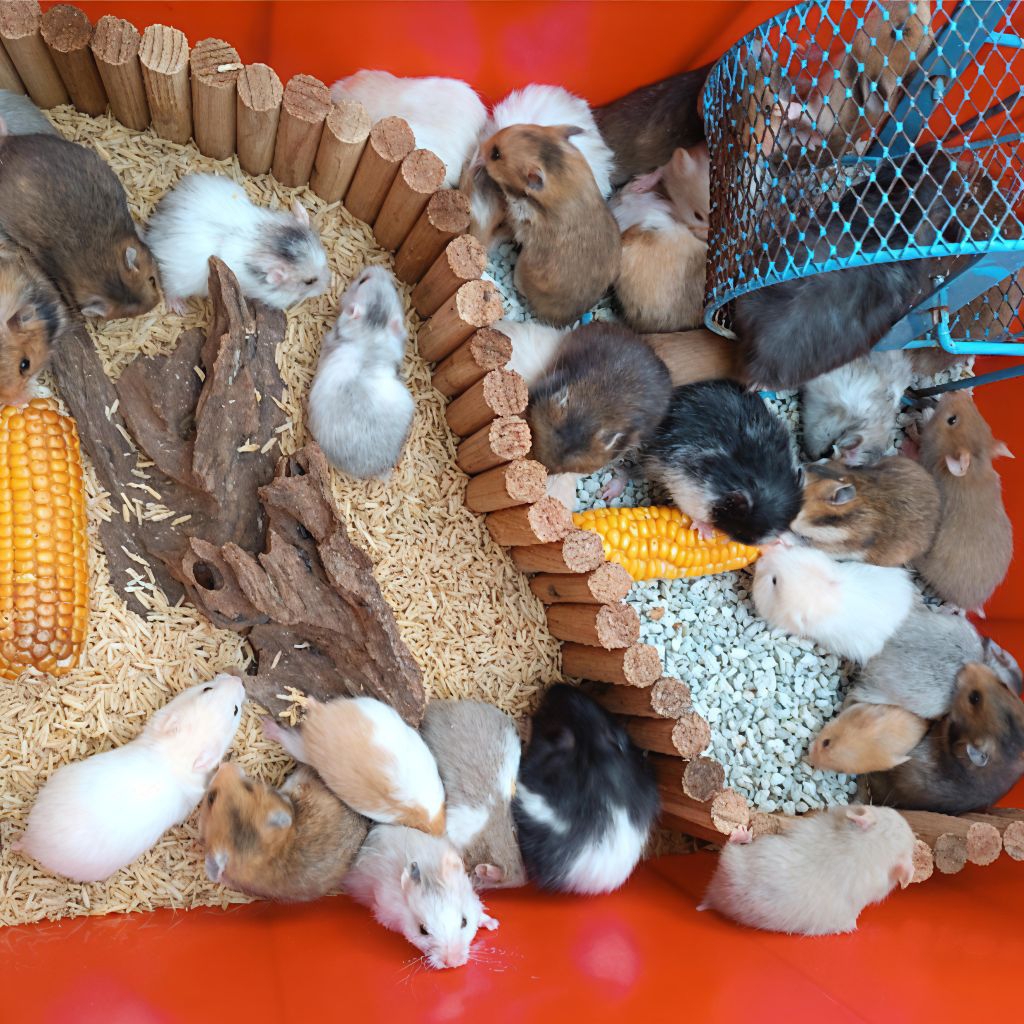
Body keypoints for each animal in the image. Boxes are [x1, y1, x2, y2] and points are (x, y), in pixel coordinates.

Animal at [145, 172, 330, 312]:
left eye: (324, 260)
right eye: (309, 281)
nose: (328, 285)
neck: (264, 240)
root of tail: (155, 227)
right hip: (180, 279)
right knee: (169, 289)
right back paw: (180, 308)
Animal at [482, 124, 621, 327]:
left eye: (496, 154)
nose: (481, 147)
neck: (563, 181)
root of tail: (563, 320)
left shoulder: (521, 213)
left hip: (521, 272)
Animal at [699, 805, 916, 936]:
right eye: (886, 810)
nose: (907, 822)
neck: (868, 849)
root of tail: (713, 897)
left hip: (732, 859)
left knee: (729, 844)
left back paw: (741, 833)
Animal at [914, 392, 1013, 611]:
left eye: (952, 420)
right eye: (986, 424)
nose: (955, 392)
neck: (976, 465)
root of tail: (973, 604)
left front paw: (925, 414)